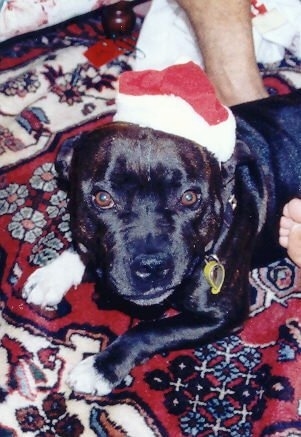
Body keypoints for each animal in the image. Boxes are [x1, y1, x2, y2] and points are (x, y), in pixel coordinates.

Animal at [22, 89, 300, 396]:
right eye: (103, 198)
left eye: (190, 197)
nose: (152, 265)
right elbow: (83, 251)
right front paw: (53, 275)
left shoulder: (223, 313)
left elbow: (149, 331)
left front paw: (100, 368)